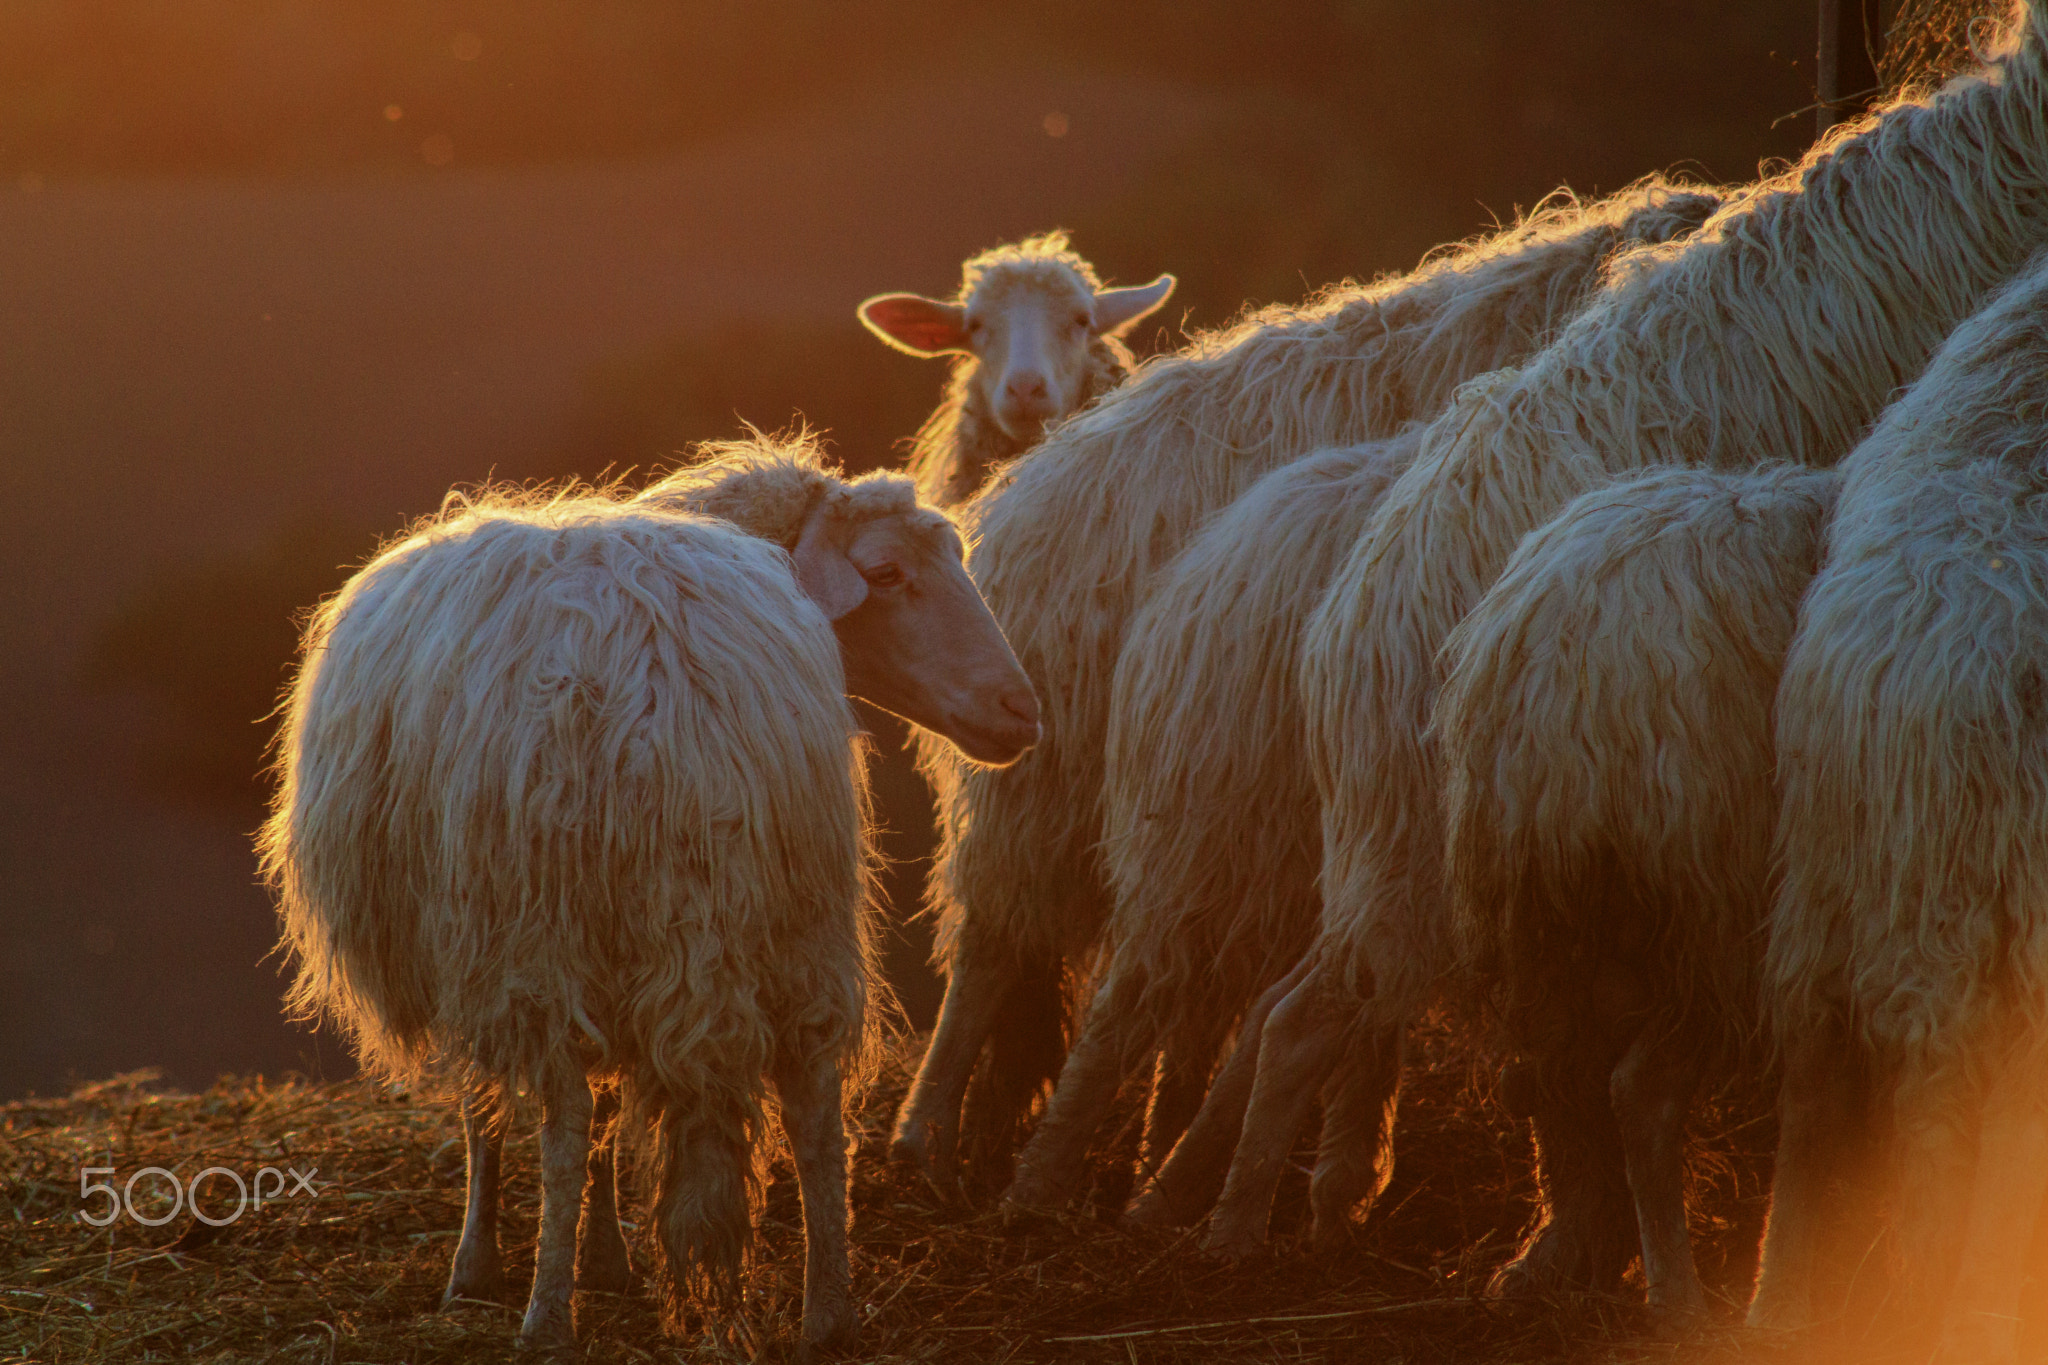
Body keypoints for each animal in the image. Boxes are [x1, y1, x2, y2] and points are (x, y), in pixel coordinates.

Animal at [258, 435, 1039, 1353]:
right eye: (885, 573)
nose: (1022, 709)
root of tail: (673, 699)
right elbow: (603, 1105)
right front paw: (606, 1258)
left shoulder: (475, 933)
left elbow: (498, 1113)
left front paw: (487, 1267)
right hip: (799, 915)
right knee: (816, 1111)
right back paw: (830, 1314)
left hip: (541, 925)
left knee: (559, 1120)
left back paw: (544, 1319)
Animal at [893, 180, 1726, 1190]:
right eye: (972, 327)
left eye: (1083, 320)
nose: (1023, 391)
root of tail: (1020, 494)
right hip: (1069, 775)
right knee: (1001, 949)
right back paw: (938, 1135)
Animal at [1434, 463, 1839, 1319]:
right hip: (1711, 904)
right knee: (1640, 1091)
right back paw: (1682, 1297)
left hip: (1544, 909)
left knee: (1545, 1074)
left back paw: (1560, 1257)